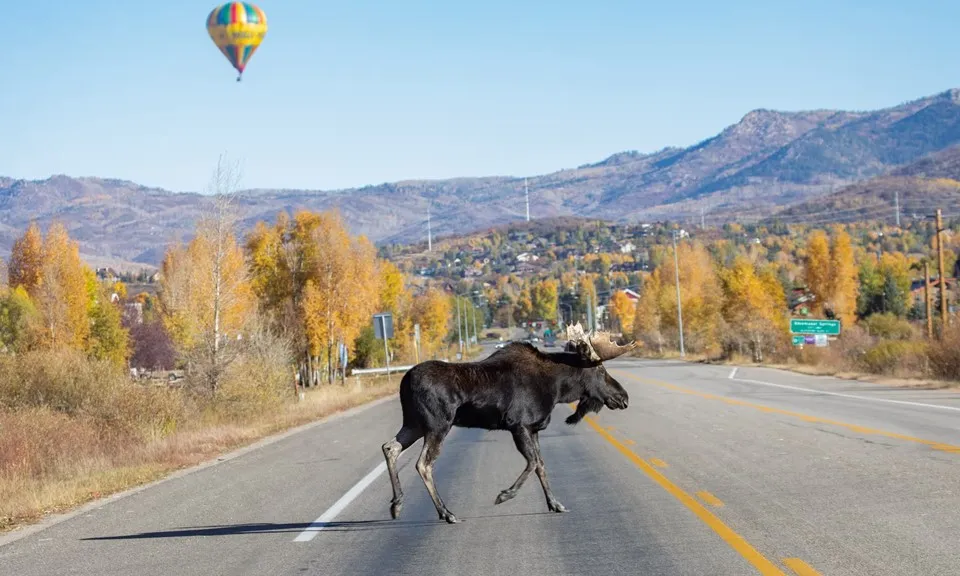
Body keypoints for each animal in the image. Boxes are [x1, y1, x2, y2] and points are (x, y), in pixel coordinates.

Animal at [380, 322, 636, 524]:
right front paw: (504, 495)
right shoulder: (519, 424)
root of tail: (405, 381)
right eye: (600, 370)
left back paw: (397, 503)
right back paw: (446, 513)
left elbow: (542, 465)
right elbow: (533, 462)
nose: (624, 397)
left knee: (390, 447)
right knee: (423, 464)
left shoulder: (534, 428)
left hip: (413, 423)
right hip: (438, 425)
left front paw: (555, 503)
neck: (558, 388)